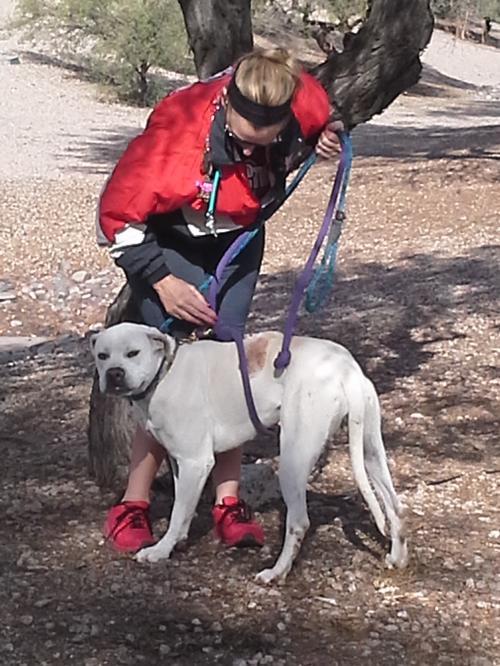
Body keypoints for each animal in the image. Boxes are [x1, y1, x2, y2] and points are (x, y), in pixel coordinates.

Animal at [92, 322, 408, 580]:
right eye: (102, 356)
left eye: (133, 353)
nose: (115, 373)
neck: (164, 372)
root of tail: (345, 367)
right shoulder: (181, 463)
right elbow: (182, 508)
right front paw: (177, 541)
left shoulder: (196, 462)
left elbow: (178, 511)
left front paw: (160, 550)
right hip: (370, 451)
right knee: (394, 506)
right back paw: (398, 558)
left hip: (293, 459)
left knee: (299, 522)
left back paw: (276, 573)